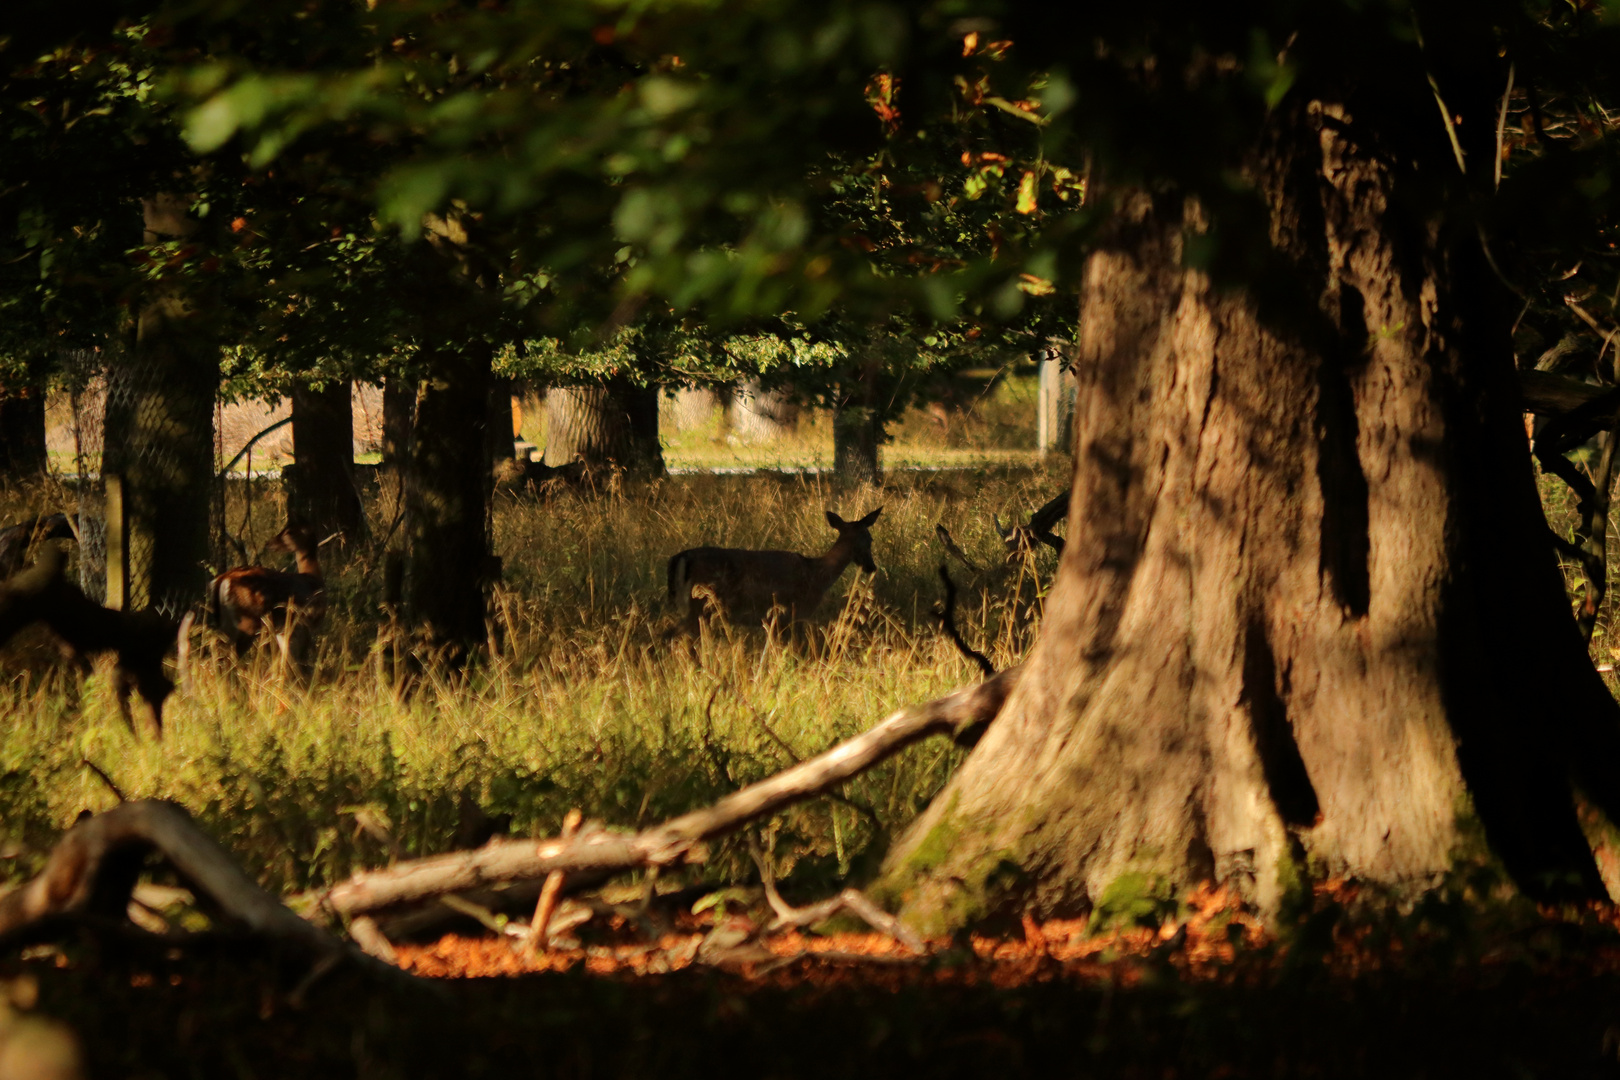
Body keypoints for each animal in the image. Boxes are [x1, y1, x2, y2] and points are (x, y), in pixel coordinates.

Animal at [205, 518, 325, 663]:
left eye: (289, 532)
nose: (269, 543)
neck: (313, 578)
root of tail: (223, 578)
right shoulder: (305, 623)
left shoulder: (285, 630)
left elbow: (286, 657)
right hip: (248, 619)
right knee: (232, 651)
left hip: (226, 620)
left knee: (217, 643)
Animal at [664, 508, 881, 634]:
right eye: (869, 539)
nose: (872, 566)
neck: (817, 574)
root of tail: (678, 559)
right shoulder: (797, 612)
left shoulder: (777, 620)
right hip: (700, 604)